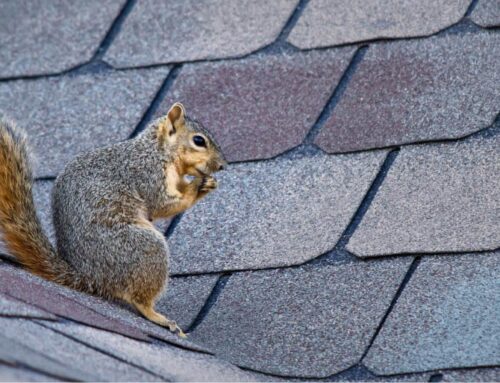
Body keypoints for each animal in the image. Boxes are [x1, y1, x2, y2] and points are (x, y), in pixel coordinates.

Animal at [0, 103, 227, 338]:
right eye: (199, 140)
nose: (222, 165)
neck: (157, 150)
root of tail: (90, 278)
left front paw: (207, 184)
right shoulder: (148, 175)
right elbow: (162, 205)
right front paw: (197, 187)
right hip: (144, 248)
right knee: (139, 299)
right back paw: (158, 317)